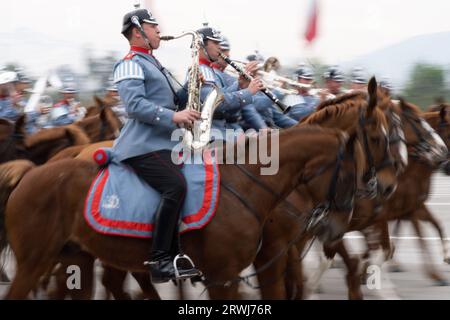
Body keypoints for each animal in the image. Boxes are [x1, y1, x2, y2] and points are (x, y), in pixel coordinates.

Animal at [0, 125, 358, 300]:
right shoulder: (223, 276)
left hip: (78, 258)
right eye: (350, 174)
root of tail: (30, 173)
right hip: (35, 261)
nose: (336, 229)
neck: (244, 183)